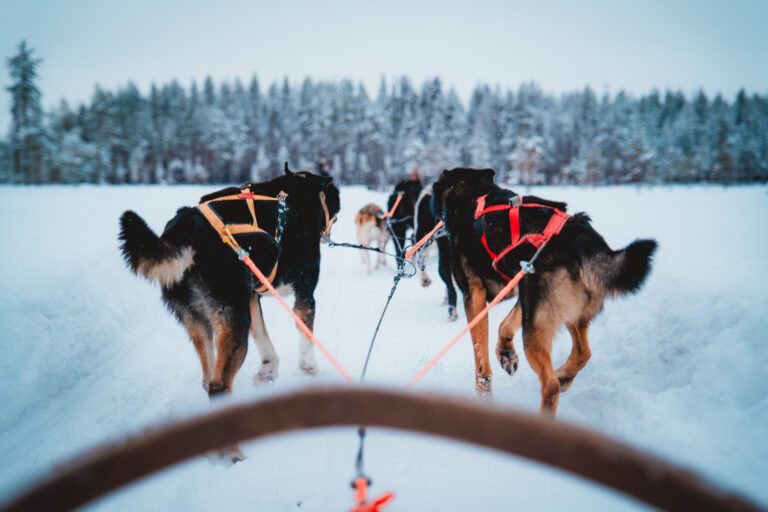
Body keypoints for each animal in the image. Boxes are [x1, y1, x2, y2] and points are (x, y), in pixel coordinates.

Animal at [436, 169, 656, 416]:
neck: (473, 193)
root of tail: (579, 237)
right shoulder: (522, 286)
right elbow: (506, 324)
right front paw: (506, 353)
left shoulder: (473, 295)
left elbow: (480, 355)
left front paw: (484, 393)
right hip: (562, 311)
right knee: (583, 352)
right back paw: (563, 376)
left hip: (536, 324)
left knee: (550, 385)